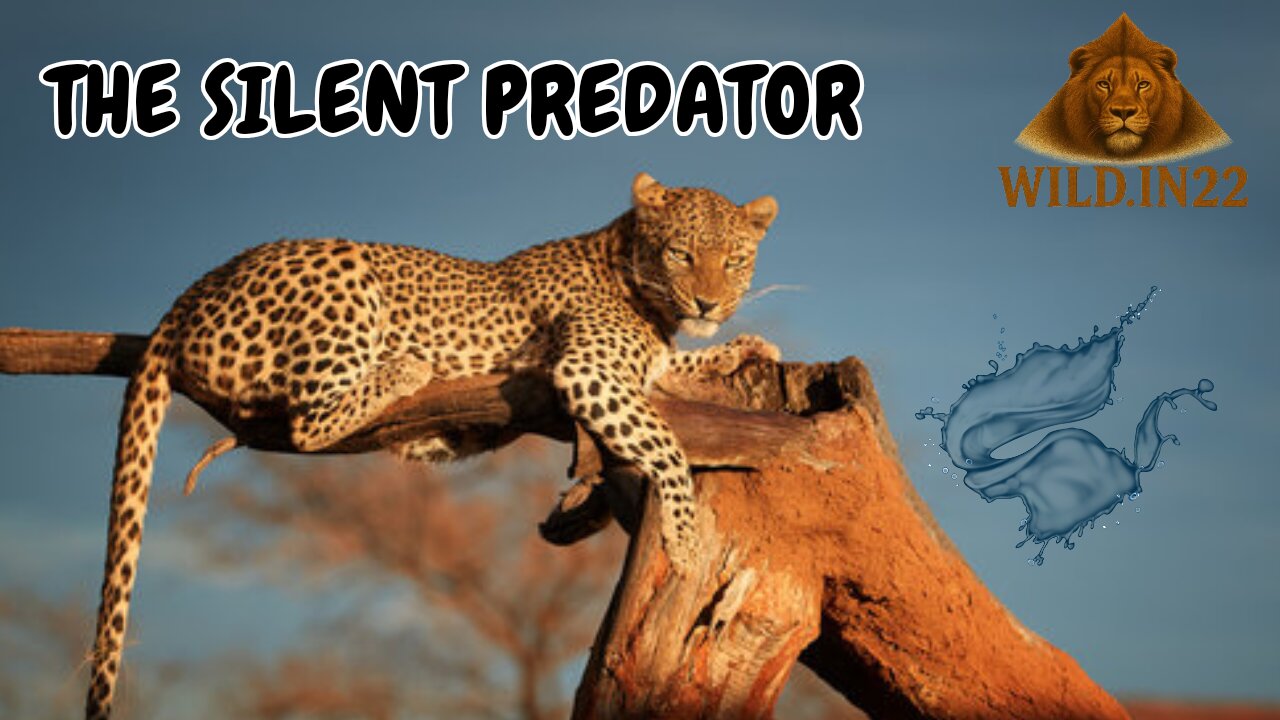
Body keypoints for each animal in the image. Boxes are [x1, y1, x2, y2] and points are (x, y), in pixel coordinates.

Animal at [84, 172, 779, 719]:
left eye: (735, 261)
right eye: (681, 253)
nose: (709, 302)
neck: (639, 282)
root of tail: (188, 294)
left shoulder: (642, 368)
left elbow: (678, 369)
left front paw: (745, 348)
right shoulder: (588, 370)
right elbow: (666, 444)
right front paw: (684, 541)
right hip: (343, 272)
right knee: (308, 422)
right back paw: (407, 367)